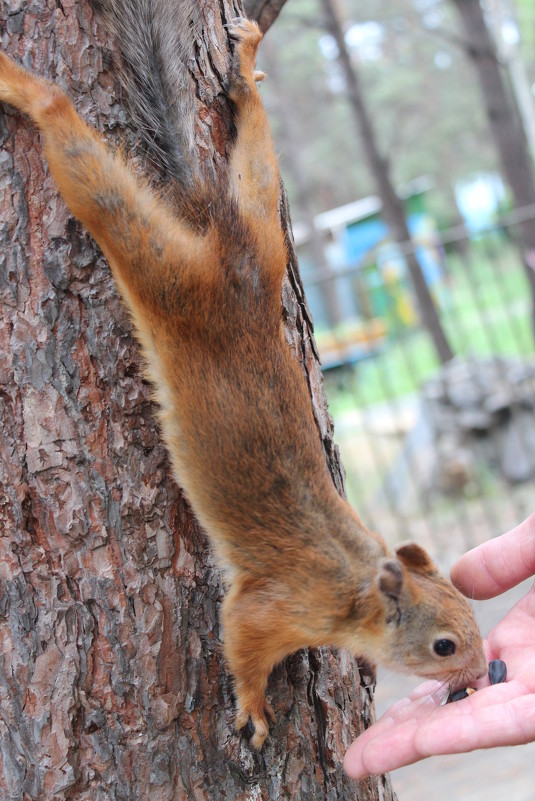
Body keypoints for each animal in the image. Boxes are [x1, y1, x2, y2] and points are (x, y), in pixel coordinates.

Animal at [0, 3, 488, 748]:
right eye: (444, 645)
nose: (483, 672)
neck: (353, 586)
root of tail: (228, 264)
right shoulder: (272, 604)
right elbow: (240, 642)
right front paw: (255, 708)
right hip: (160, 268)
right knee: (83, 158)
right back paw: (26, 91)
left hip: (263, 231)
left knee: (254, 158)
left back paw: (245, 71)